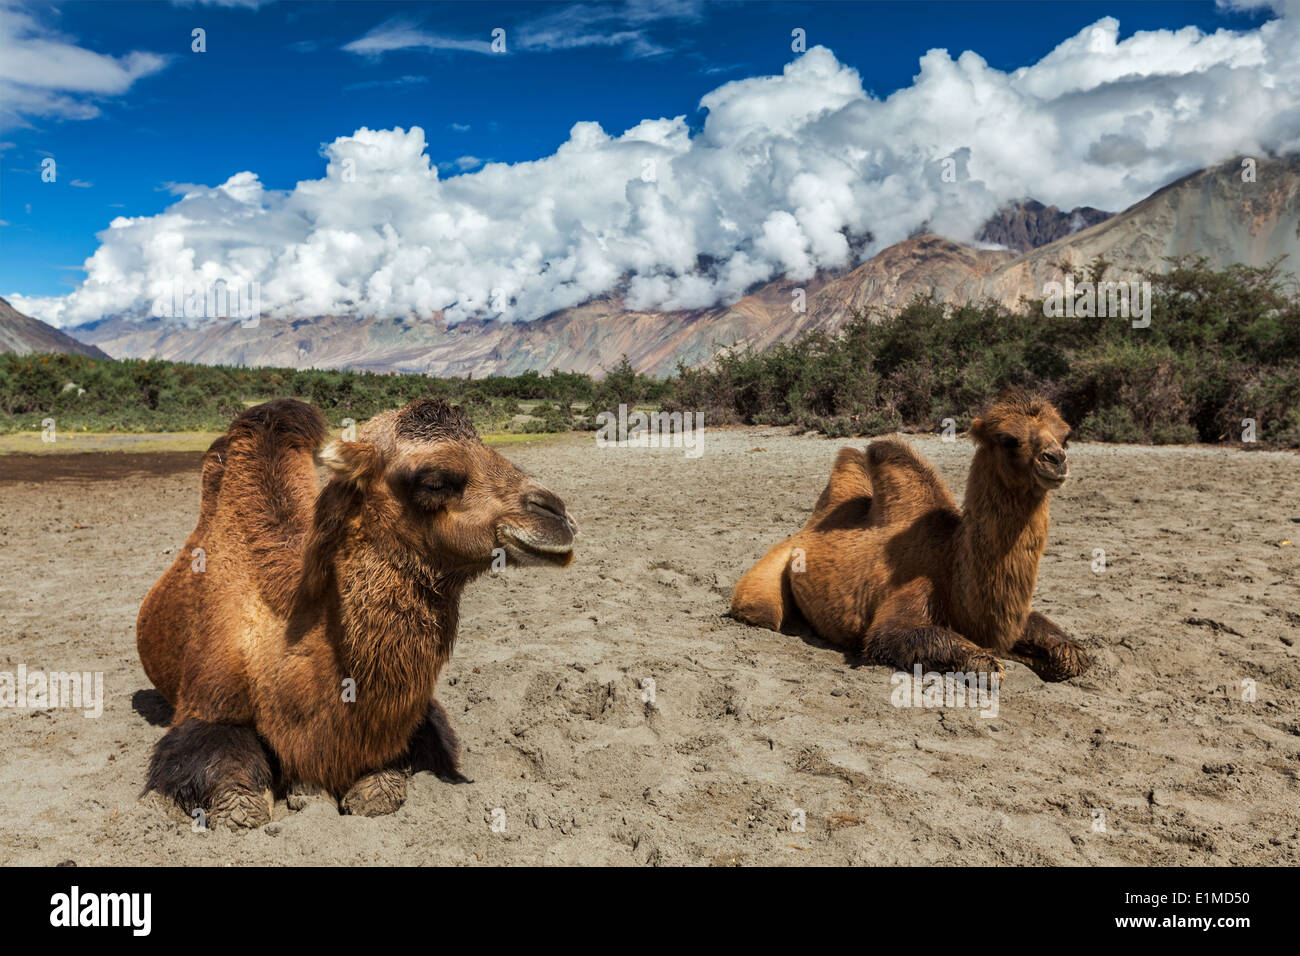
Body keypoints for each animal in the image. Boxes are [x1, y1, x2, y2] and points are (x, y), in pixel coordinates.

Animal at [733, 392, 1086, 686]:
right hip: (766, 582)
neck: (951, 561)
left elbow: (1074, 657)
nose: (1056, 460)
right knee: (763, 611)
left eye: (1065, 436)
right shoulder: (911, 596)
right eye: (1009, 439)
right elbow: (980, 663)